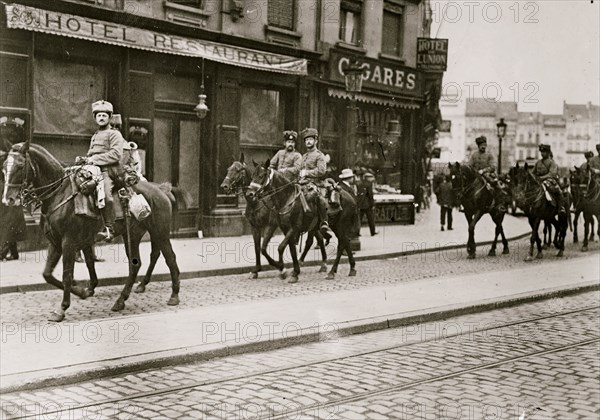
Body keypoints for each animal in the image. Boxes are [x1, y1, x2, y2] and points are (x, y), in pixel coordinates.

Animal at [2, 142, 183, 322]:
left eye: (20, 166)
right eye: (3, 167)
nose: (8, 199)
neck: (59, 194)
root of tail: (161, 190)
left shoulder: (68, 241)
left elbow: (67, 274)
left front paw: (62, 309)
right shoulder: (56, 241)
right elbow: (49, 274)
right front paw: (82, 291)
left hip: (159, 232)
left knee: (170, 258)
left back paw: (174, 295)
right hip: (132, 235)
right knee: (136, 265)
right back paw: (121, 300)